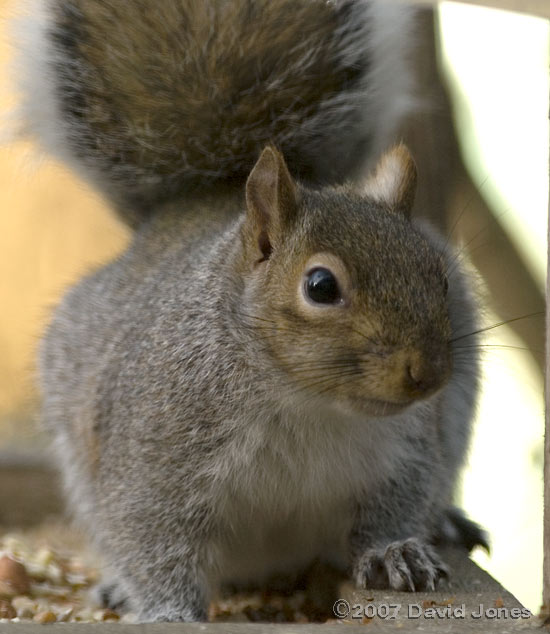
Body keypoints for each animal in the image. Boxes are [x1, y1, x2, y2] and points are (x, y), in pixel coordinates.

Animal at [17, 0, 490, 624]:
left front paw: (394, 553)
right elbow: (150, 535)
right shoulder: (153, 459)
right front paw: (168, 613)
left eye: (439, 274)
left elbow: (395, 505)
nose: (429, 374)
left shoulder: (405, 451)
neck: (308, 402)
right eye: (320, 286)